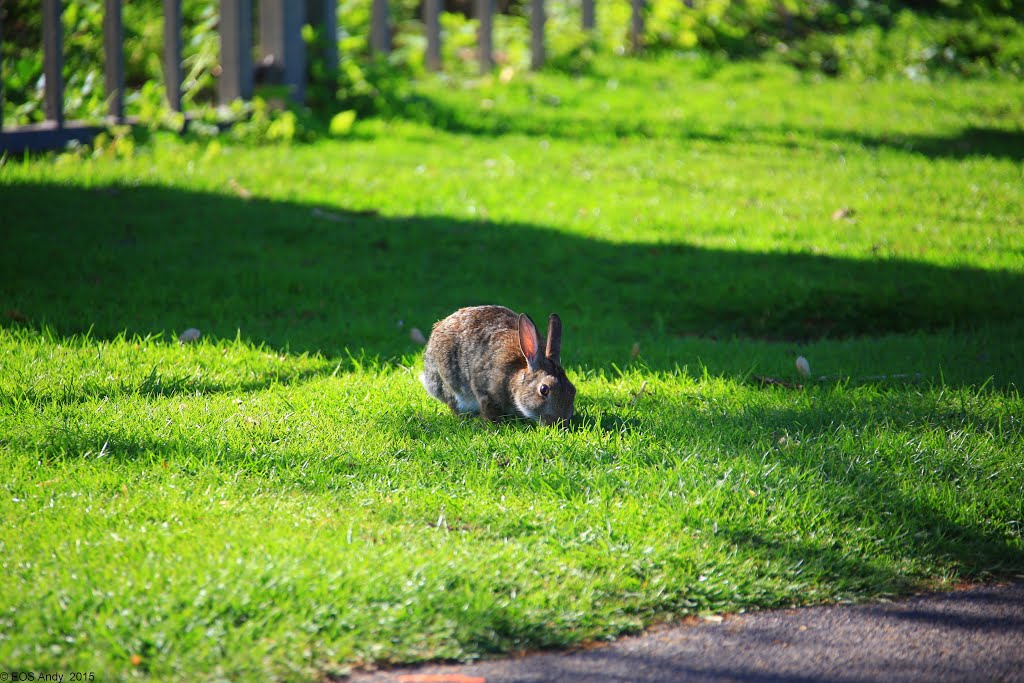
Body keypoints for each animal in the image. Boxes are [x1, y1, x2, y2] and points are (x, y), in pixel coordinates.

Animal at [417, 305, 577, 428]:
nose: (560, 423)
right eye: (544, 390)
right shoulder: (484, 391)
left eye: (573, 390)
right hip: (448, 383)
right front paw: (494, 424)